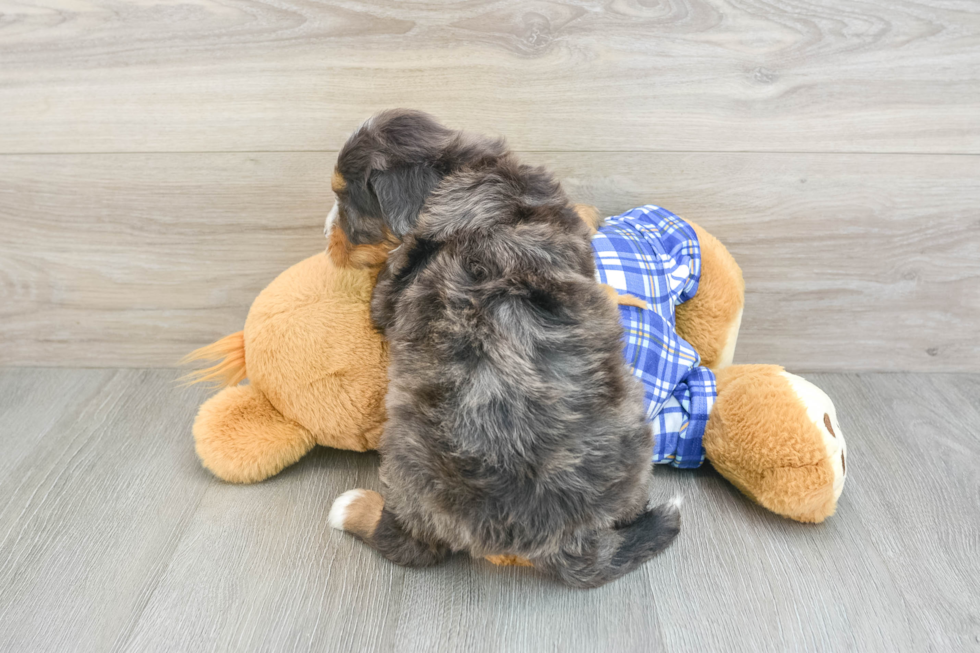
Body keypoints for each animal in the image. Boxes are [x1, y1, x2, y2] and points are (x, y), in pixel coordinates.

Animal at [326, 109, 676, 588]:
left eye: (345, 201)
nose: (325, 237)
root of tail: (558, 539)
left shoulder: (390, 291)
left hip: (405, 460)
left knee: (411, 545)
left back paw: (352, 507)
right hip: (636, 437)